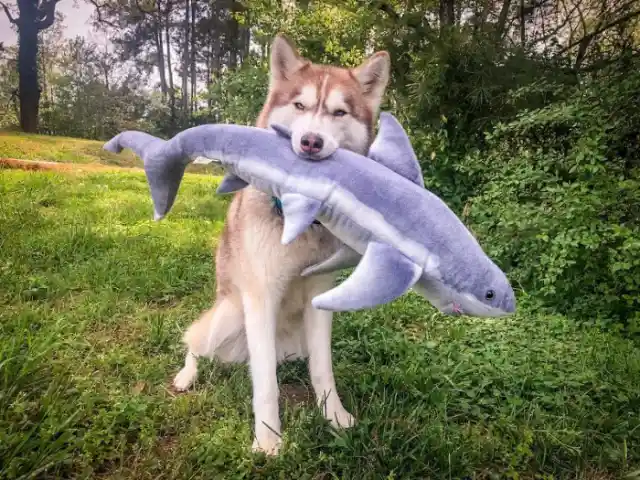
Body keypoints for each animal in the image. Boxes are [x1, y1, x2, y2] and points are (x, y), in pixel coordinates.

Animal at [170, 35, 390, 456]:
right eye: (300, 105)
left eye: (339, 112)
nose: (310, 141)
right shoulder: (261, 296)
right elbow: (266, 387)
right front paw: (268, 440)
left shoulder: (320, 296)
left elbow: (323, 370)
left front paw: (334, 417)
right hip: (229, 314)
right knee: (195, 343)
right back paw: (186, 376)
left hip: (291, 339)